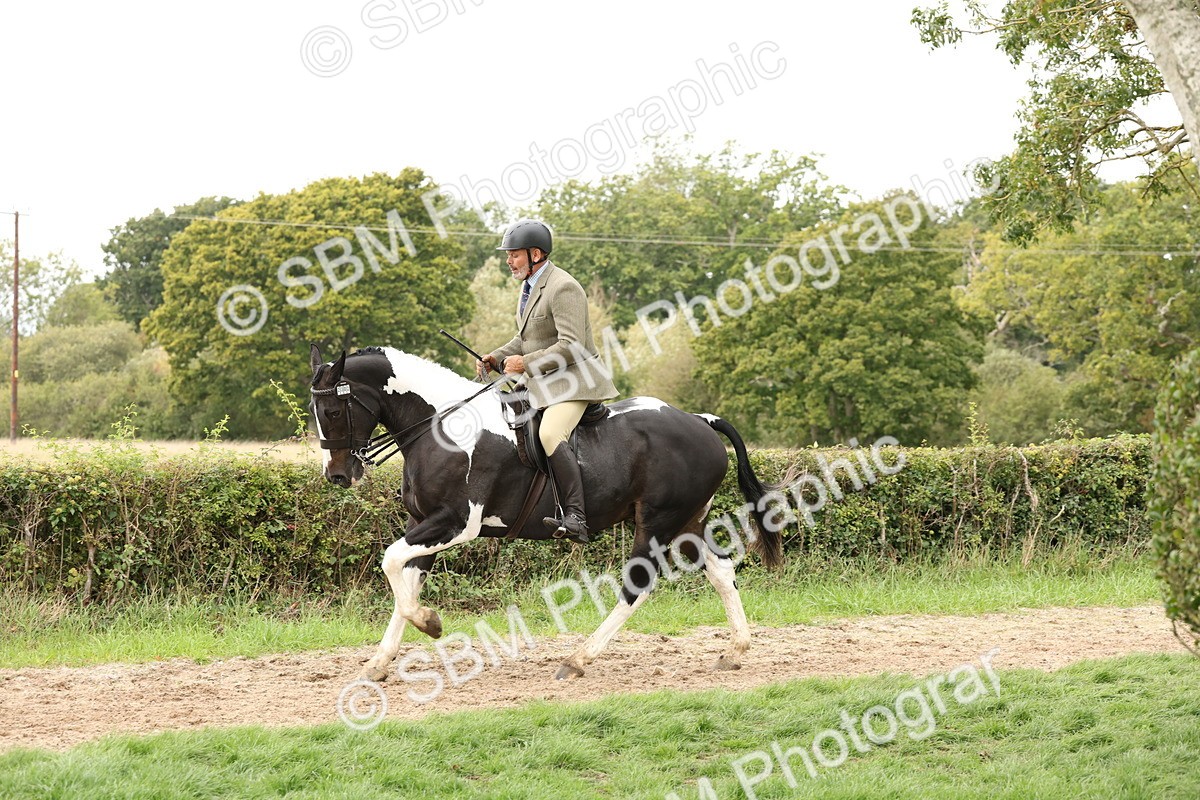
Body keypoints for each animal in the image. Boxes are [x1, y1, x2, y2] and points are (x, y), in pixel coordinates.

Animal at [308, 344, 786, 682]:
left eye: (332, 410)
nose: (338, 475)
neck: (442, 428)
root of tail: (699, 420)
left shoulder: (456, 523)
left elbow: (391, 562)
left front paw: (431, 623)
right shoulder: (422, 523)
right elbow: (404, 580)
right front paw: (380, 661)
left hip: (657, 523)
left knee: (637, 585)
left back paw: (578, 659)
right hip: (689, 523)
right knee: (722, 572)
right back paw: (735, 651)